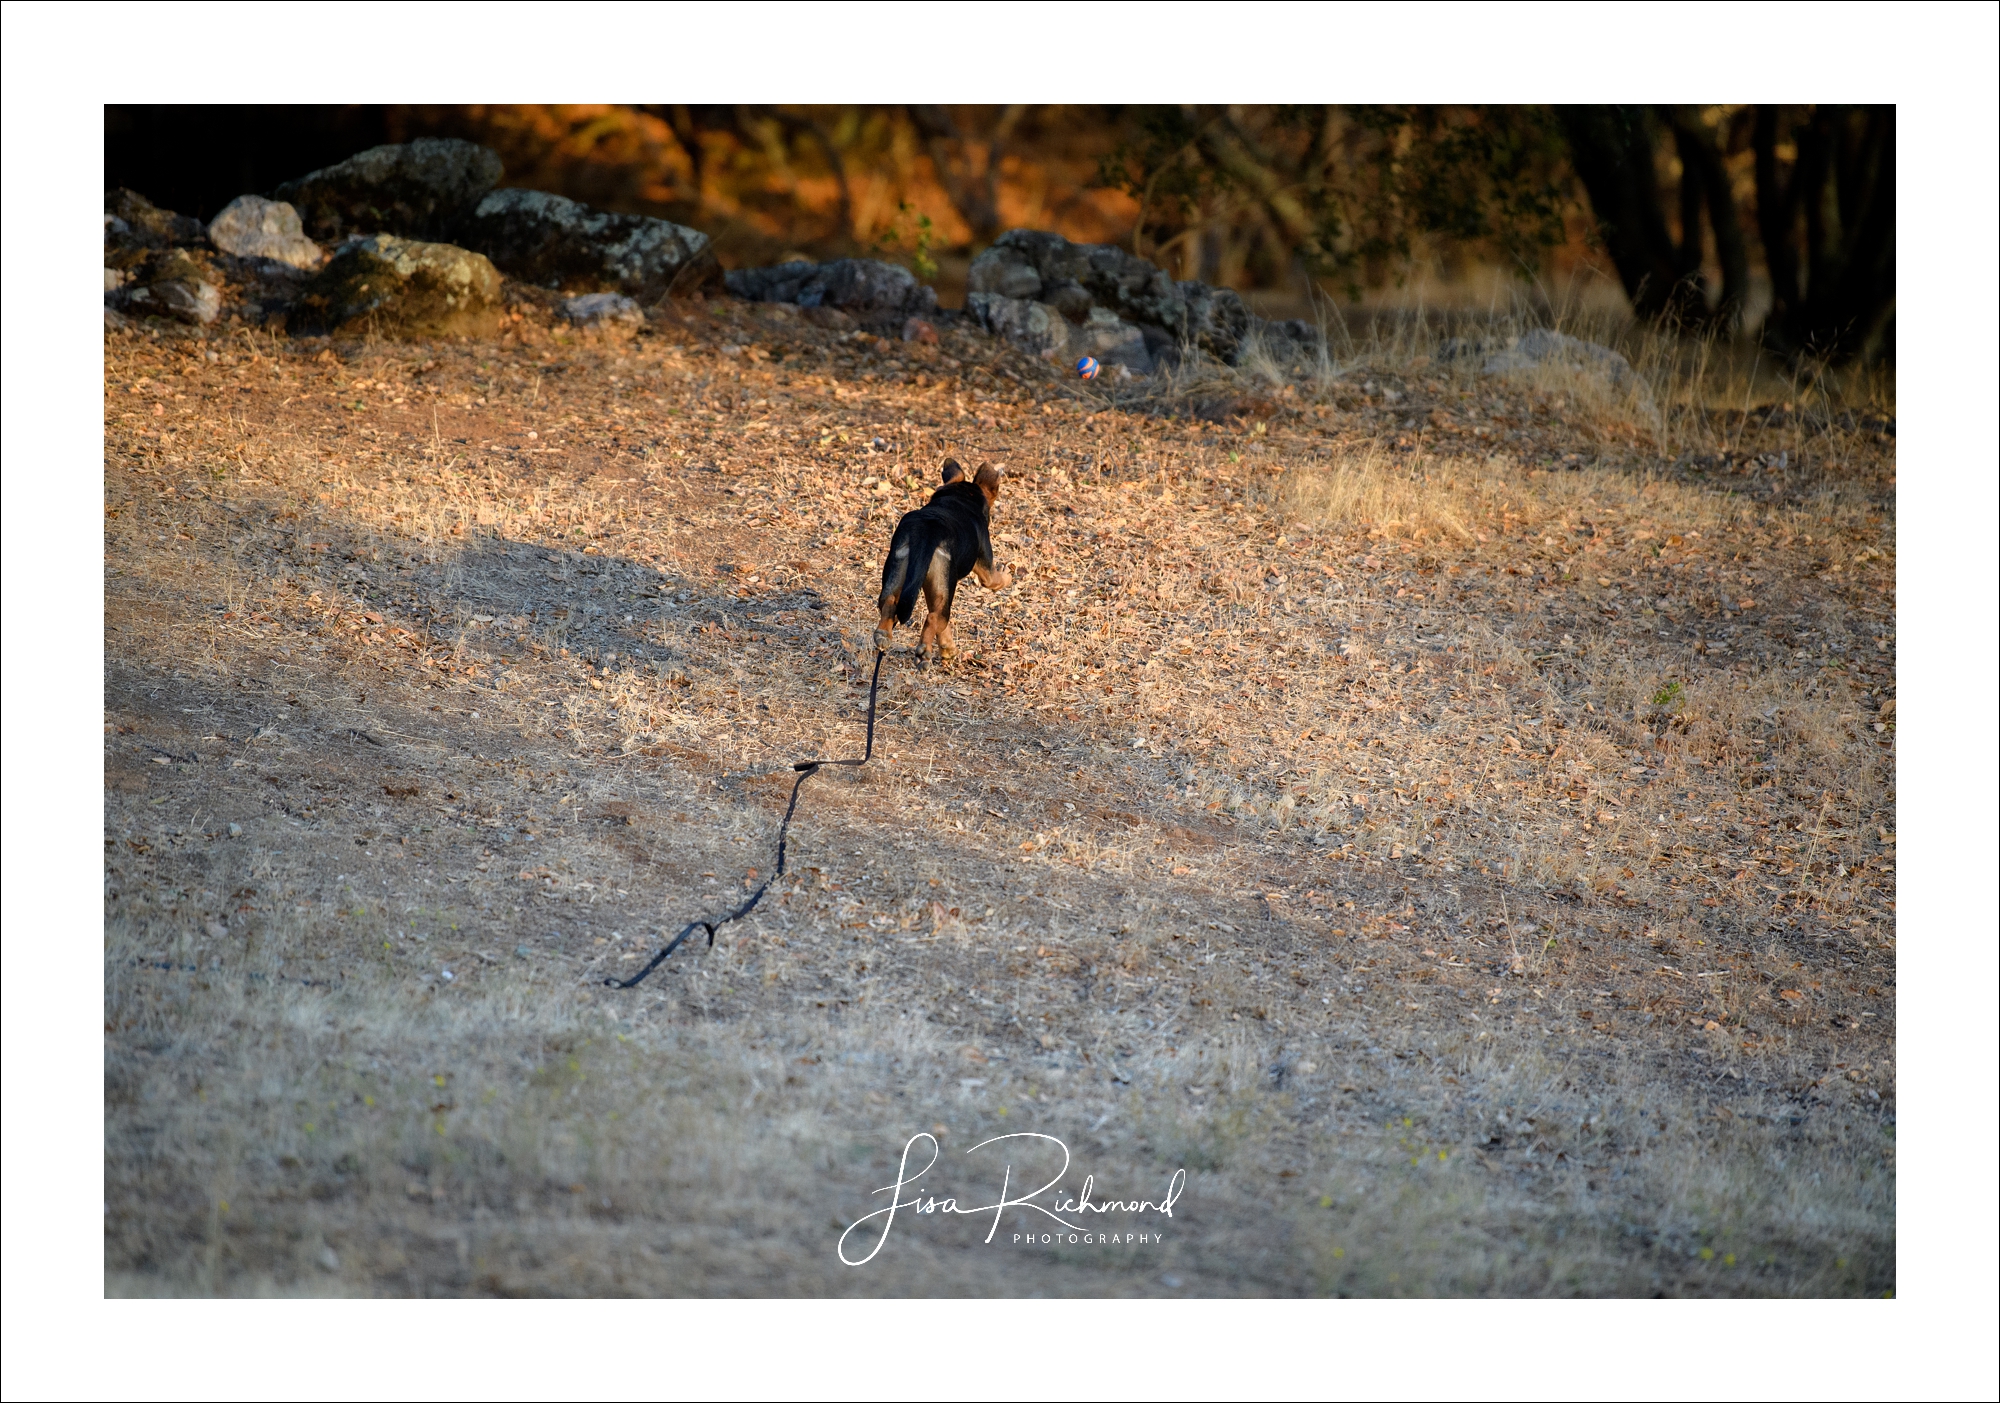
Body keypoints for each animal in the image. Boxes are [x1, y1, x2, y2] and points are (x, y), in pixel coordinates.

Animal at [872, 459, 1008, 663]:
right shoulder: (986, 569)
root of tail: (927, 530)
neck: (960, 497)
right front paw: (1008, 577)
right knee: (934, 618)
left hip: (898, 569)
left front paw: (947, 648)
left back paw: (883, 635)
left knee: (889, 602)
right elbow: (996, 581)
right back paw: (923, 654)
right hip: (945, 582)